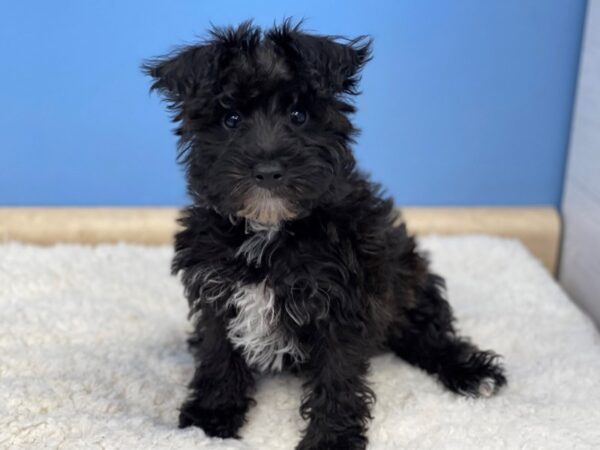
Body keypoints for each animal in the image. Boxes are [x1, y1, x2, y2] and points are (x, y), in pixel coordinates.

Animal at [144, 21, 506, 450]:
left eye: (299, 115)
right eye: (231, 119)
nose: (267, 170)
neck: (271, 230)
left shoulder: (341, 301)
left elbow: (337, 375)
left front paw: (332, 439)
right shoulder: (217, 290)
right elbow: (219, 355)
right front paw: (211, 418)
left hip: (407, 280)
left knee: (429, 336)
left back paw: (473, 373)